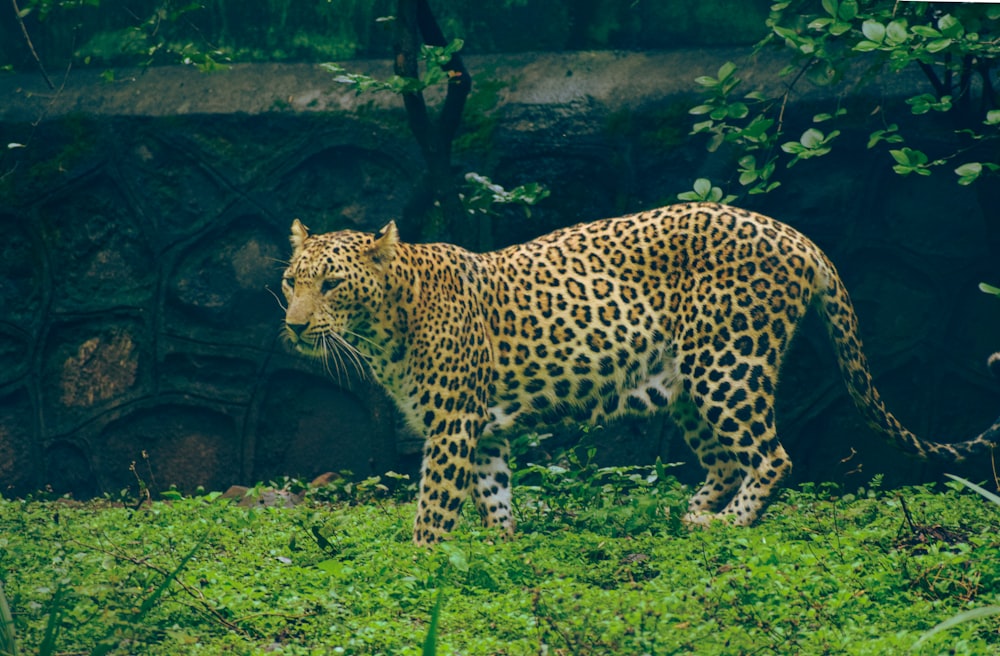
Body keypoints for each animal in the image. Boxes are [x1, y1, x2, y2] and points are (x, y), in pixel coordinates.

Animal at [282, 202, 1000, 544]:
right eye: (292, 281)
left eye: (333, 284)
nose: (292, 326)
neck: (384, 324)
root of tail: (795, 236)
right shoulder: (482, 428)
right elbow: (494, 492)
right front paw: (501, 544)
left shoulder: (454, 423)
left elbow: (434, 504)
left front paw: (423, 559)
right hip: (685, 382)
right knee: (724, 459)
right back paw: (690, 514)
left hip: (728, 362)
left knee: (773, 456)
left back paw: (727, 524)